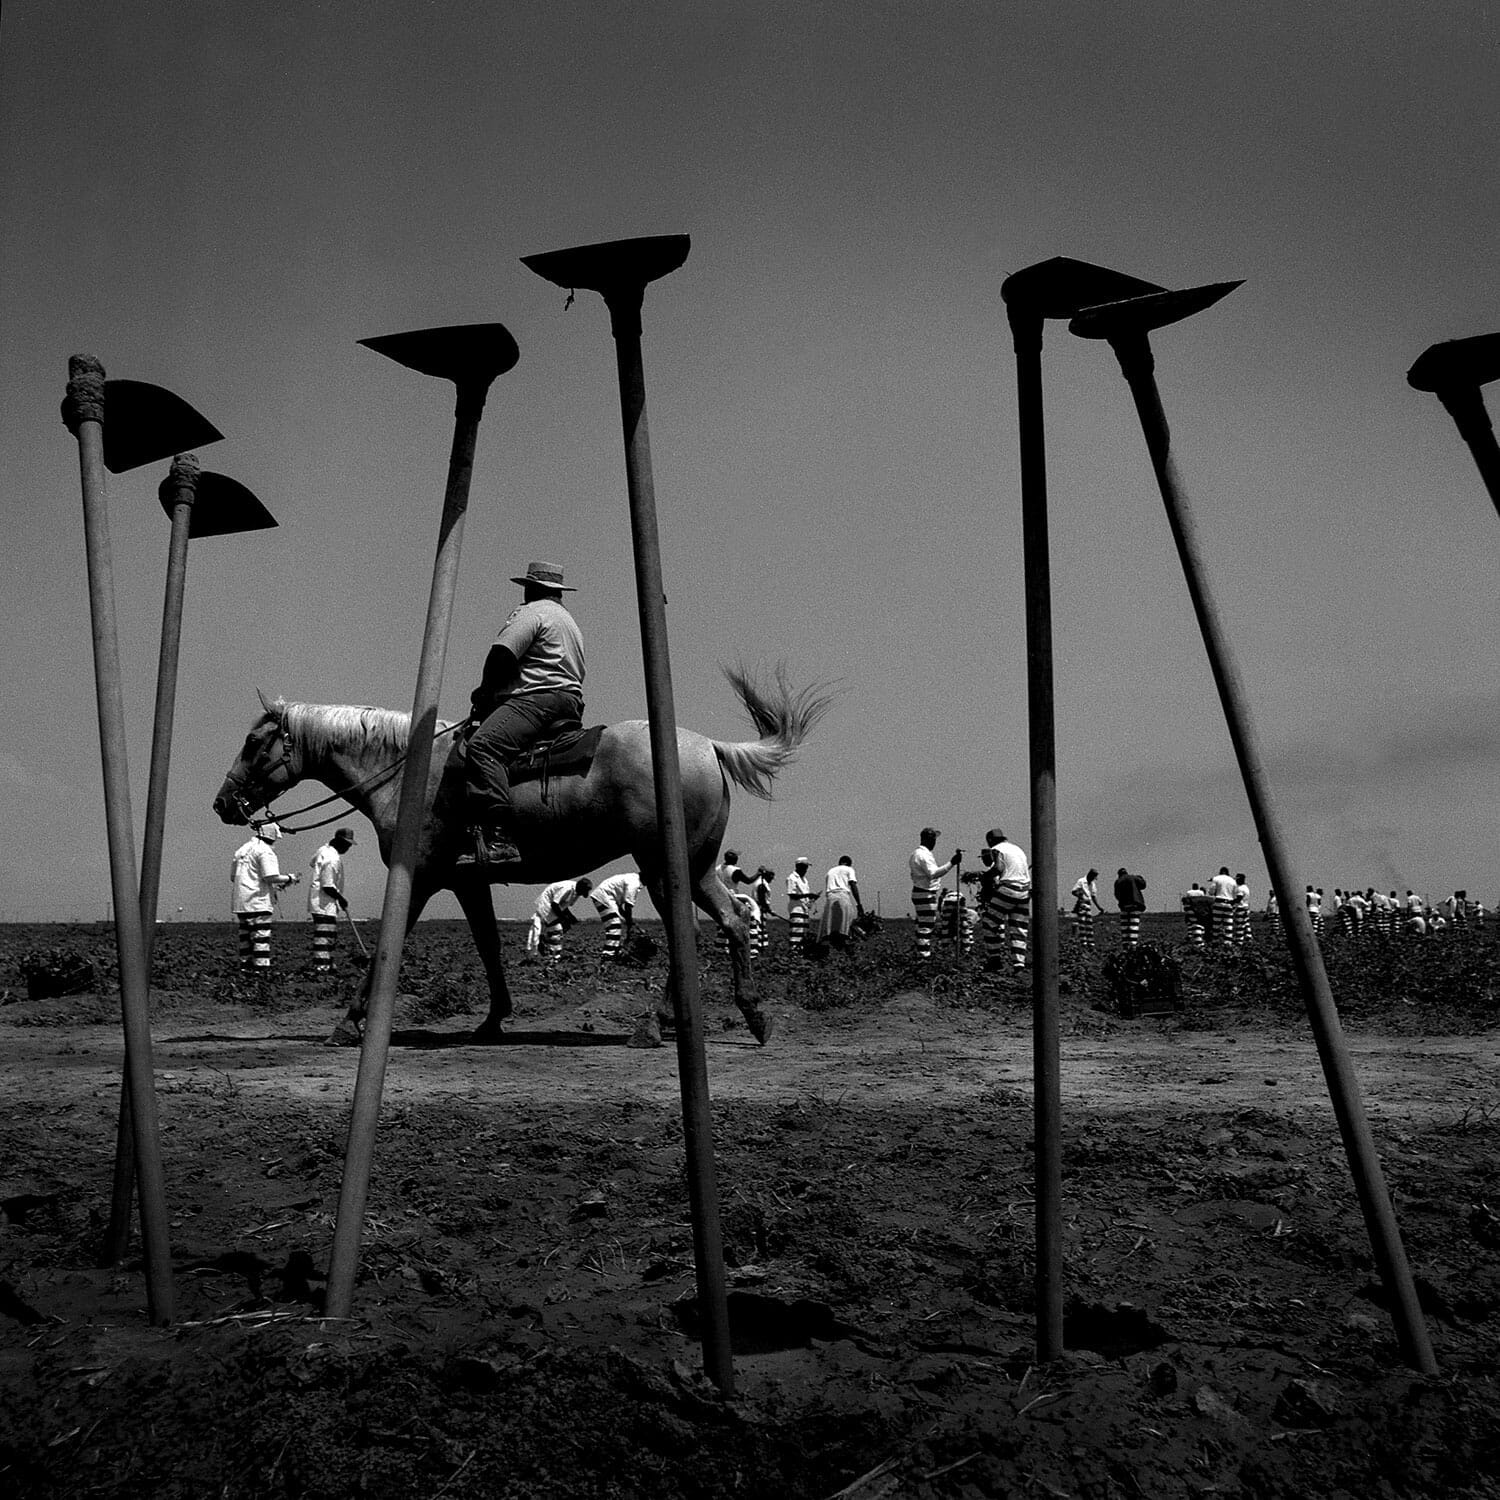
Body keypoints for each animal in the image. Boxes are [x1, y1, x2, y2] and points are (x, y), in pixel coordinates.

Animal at [211, 666, 834, 1044]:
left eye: (254, 742)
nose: (222, 803)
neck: (411, 775)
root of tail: (710, 747)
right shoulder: (466, 882)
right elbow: (488, 945)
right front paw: (493, 1020)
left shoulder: (418, 878)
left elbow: (390, 946)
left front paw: (348, 1023)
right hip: (696, 868)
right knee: (733, 921)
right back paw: (751, 1015)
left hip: (663, 870)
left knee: (697, 932)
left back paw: (655, 1026)